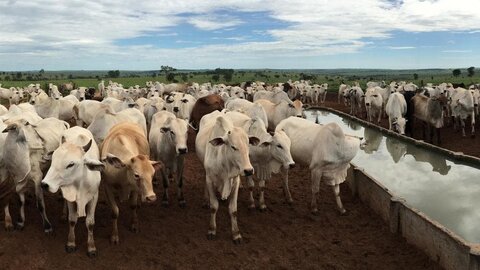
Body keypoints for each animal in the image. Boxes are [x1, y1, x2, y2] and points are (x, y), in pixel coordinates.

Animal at [41, 127, 103, 258]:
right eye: (53, 159)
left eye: (71, 164)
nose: (44, 184)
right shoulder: (70, 196)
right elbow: (72, 220)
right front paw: (71, 243)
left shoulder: (94, 196)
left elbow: (90, 223)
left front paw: (91, 247)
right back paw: (64, 214)